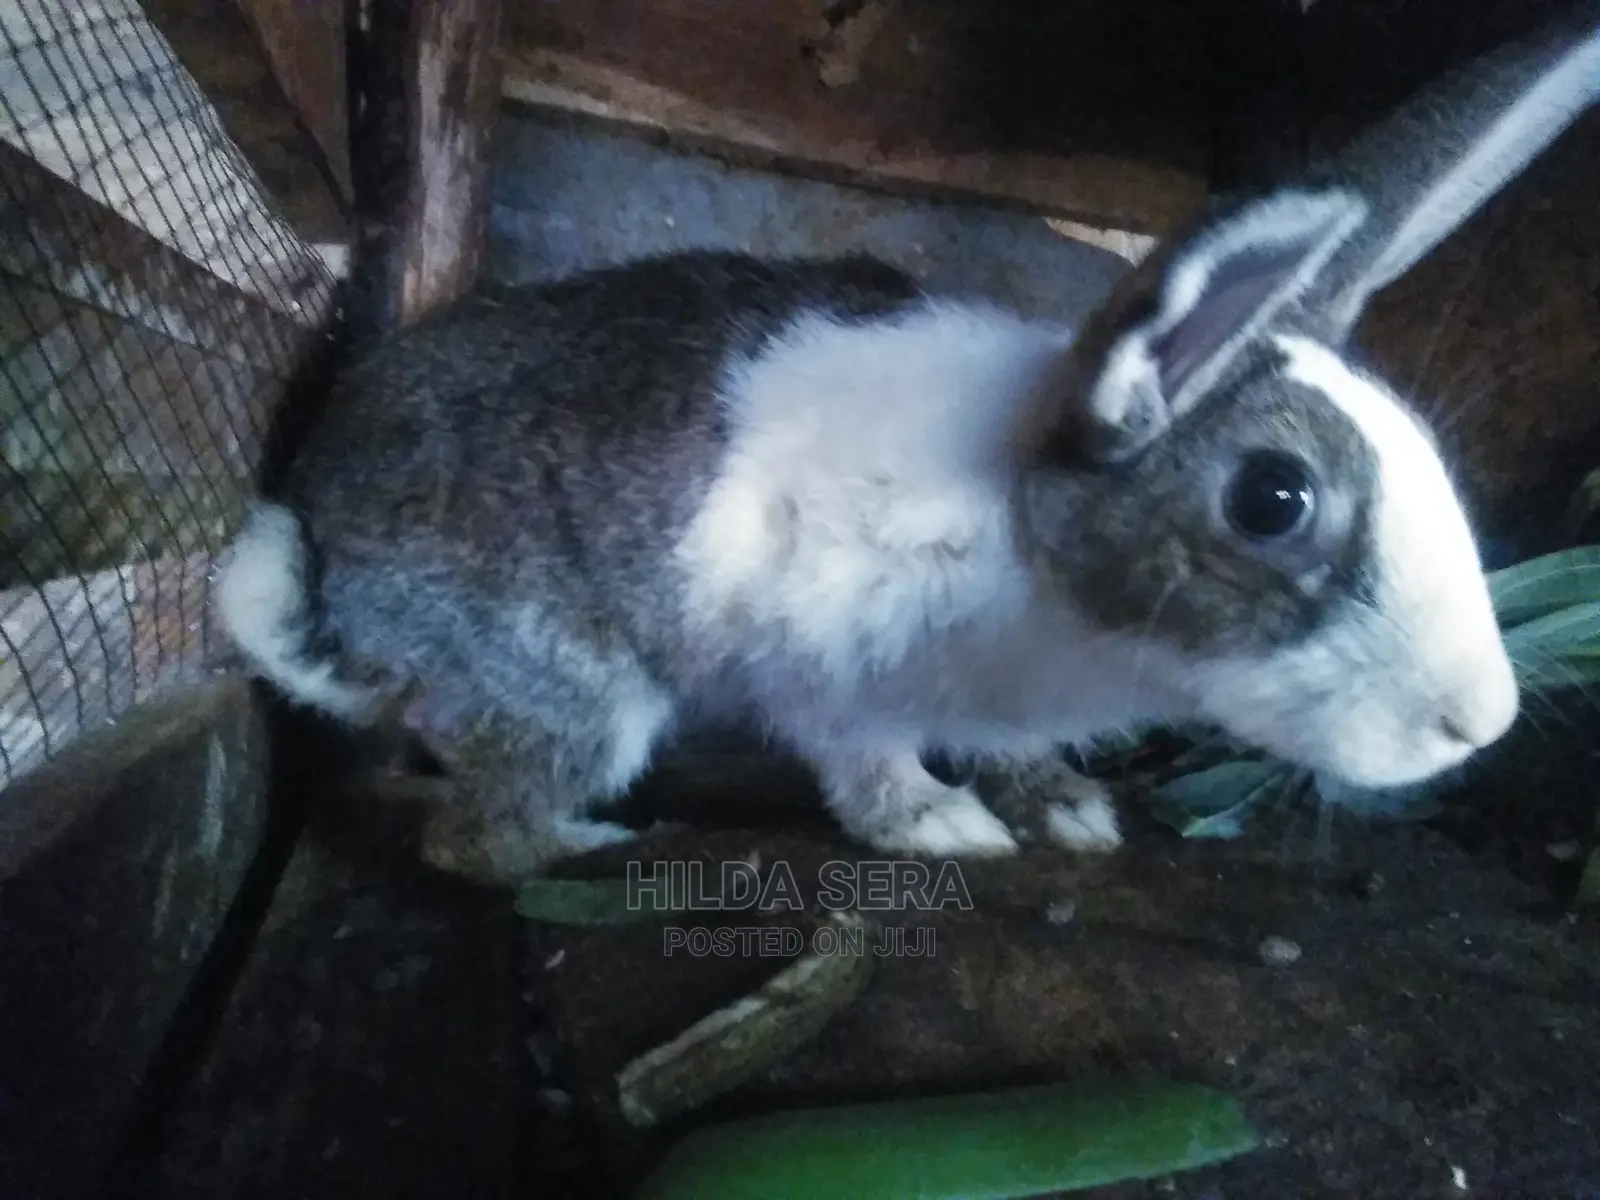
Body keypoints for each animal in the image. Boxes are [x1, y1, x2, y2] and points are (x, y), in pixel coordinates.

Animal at [213, 4, 1599, 884]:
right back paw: (600, 849)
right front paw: (946, 831)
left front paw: (1069, 812)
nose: (1479, 724)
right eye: (1272, 499)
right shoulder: (830, 670)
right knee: (473, 837)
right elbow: (867, 762)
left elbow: (1020, 755)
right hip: (585, 699)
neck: (1034, 552)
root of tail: (325, 563)